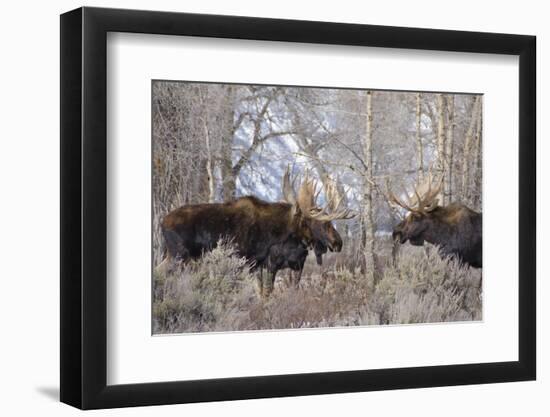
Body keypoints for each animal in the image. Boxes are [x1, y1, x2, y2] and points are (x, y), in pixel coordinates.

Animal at [158, 167, 358, 294]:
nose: (338, 242)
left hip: (174, 256)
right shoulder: (258, 262)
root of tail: (162, 223)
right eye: (321, 223)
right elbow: (264, 293)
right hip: (179, 256)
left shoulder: (265, 265)